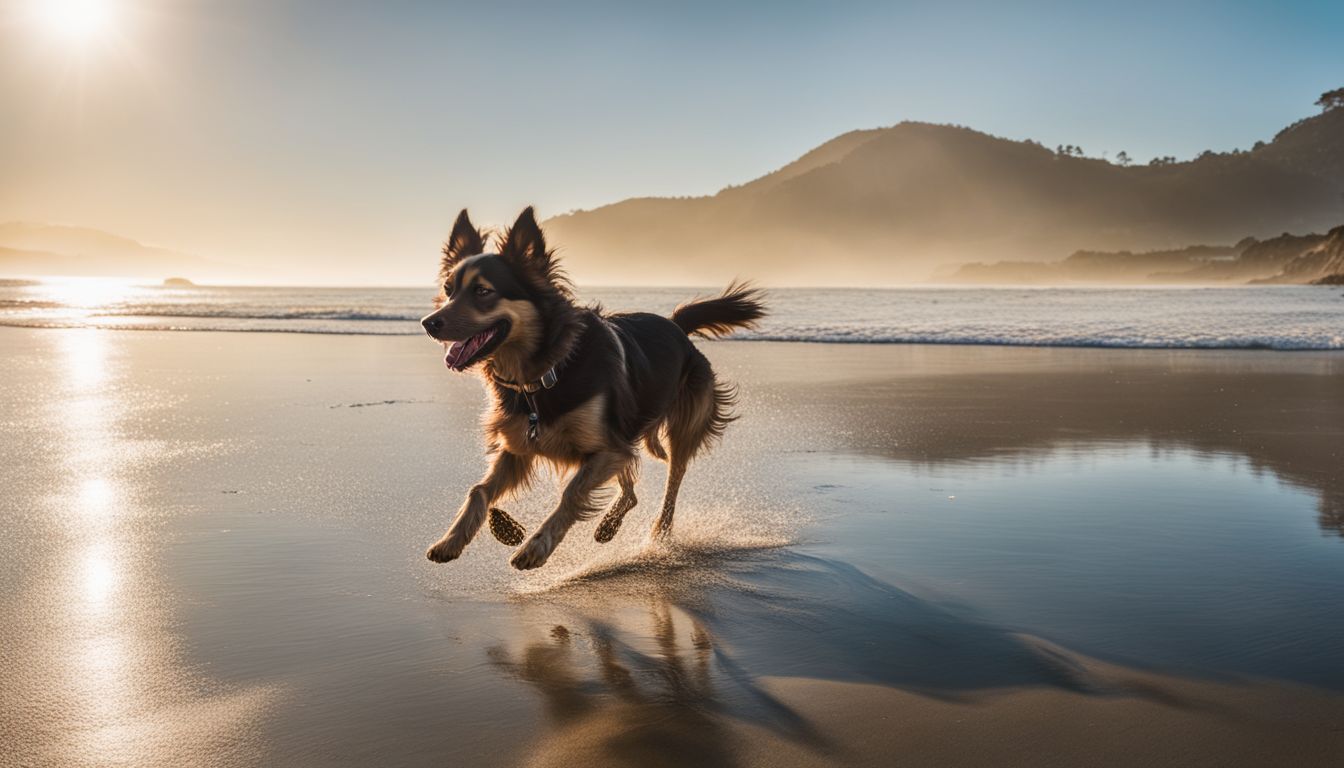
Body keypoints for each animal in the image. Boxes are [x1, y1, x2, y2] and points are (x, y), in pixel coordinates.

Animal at [424, 207, 774, 567]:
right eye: (449, 289)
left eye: (483, 291)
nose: (429, 323)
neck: (545, 371)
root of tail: (676, 325)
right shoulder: (520, 446)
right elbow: (478, 491)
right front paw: (455, 538)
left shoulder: (605, 447)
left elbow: (572, 493)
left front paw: (537, 546)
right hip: (626, 432)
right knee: (631, 491)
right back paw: (609, 526)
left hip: (677, 429)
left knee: (672, 483)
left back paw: (660, 534)